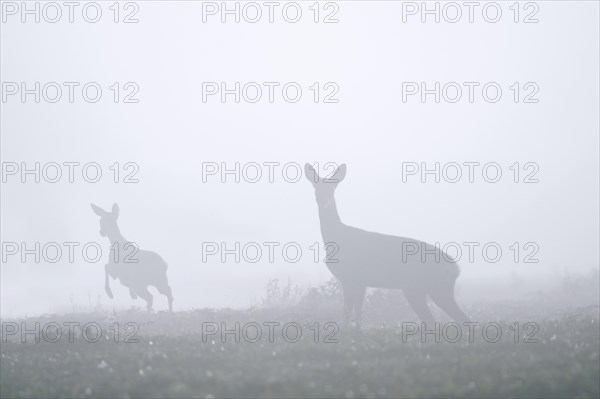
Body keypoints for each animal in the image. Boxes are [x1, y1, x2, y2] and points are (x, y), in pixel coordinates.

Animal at [304, 164, 468, 326]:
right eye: (315, 186)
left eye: (333, 187)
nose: (323, 199)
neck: (336, 238)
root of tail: (456, 268)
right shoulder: (354, 281)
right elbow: (355, 315)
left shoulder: (354, 278)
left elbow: (351, 315)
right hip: (420, 290)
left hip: (433, 288)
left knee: (460, 318)